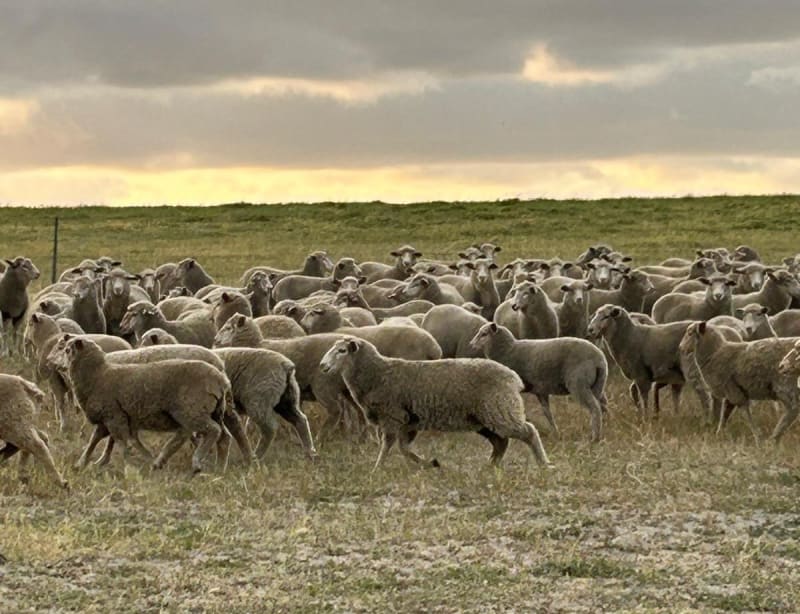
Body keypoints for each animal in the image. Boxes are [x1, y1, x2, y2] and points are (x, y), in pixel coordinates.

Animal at [52, 337, 231, 473]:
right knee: (219, 436)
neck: (98, 375)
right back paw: (218, 467)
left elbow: (123, 442)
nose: (55, 365)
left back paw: (195, 462)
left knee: (211, 430)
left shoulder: (114, 417)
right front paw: (82, 463)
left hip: (191, 410)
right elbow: (95, 440)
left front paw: (128, 466)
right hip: (208, 412)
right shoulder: (109, 419)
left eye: (67, 350)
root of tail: (221, 379)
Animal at [319, 337, 551, 469]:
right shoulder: (408, 422)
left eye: (341, 351)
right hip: (484, 418)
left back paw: (543, 464)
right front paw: (430, 463)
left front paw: (377, 468)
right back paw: (490, 465)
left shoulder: (392, 418)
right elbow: (404, 448)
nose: (322, 366)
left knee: (529, 432)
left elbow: (388, 446)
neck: (376, 373)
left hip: (499, 410)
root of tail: (513, 377)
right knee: (501, 442)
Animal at [469, 322, 608, 441]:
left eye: (484, 334)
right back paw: (604, 429)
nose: (471, 344)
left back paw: (595, 439)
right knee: (603, 406)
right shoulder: (541, 391)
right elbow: (547, 413)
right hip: (597, 385)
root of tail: (599, 359)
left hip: (579, 384)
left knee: (595, 408)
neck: (507, 350)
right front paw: (555, 433)